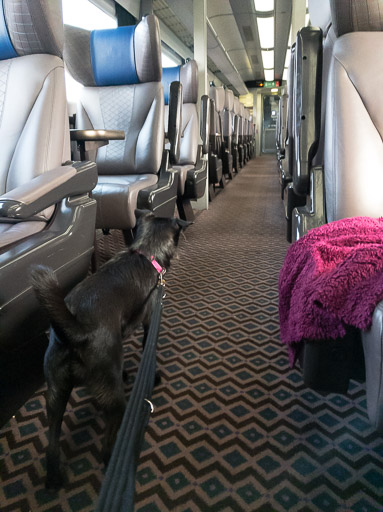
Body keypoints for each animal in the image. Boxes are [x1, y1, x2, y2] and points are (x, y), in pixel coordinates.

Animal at [31, 211, 190, 488]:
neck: (145, 253)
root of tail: (75, 332)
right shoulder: (150, 319)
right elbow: (149, 348)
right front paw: (155, 377)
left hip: (55, 394)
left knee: (52, 444)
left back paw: (54, 480)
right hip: (114, 403)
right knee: (107, 449)